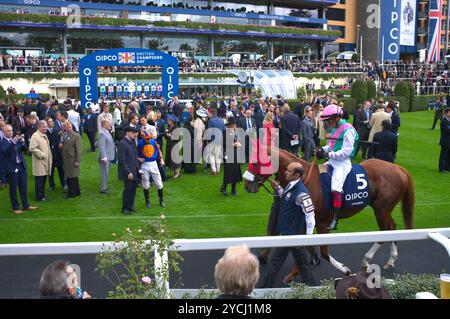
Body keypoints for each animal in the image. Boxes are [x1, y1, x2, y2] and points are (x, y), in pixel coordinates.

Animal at [244, 149, 414, 284]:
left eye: (257, 163)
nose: (246, 185)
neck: (305, 181)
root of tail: (399, 168)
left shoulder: (321, 222)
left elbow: (323, 251)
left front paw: (344, 269)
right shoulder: (305, 222)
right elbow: (304, 245)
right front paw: (298, 270)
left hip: (381, 209)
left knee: (385, 229)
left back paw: (367, 259)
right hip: (384, 209)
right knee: (392, 227)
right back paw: (391, 259)